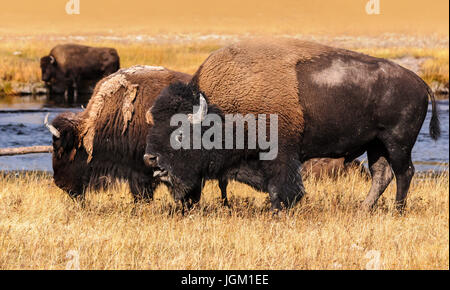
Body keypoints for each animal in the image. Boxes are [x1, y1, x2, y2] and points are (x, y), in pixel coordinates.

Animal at [146, 38, 442, 211]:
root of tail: (419, 81)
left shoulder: (280, 154)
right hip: (375, 144)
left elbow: (281, 184)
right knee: (381, 174)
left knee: (404, 172)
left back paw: (398, 210)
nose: (151, 159)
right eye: (153, 125)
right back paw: (364, 208)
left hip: (397, 142)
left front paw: (280, 208)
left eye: (180, 134)